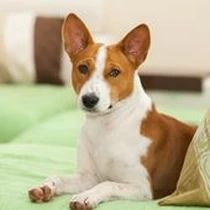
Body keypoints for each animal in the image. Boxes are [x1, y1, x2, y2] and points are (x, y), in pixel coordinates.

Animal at [27, 13, 197, 210]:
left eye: (114, 72)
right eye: (83, 68)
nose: (89, 99)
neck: (106, 127)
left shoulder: (142, 187)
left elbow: (108, 183)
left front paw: (86, 196)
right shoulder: (88, 177)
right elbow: (59, 177)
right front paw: (45, 186)